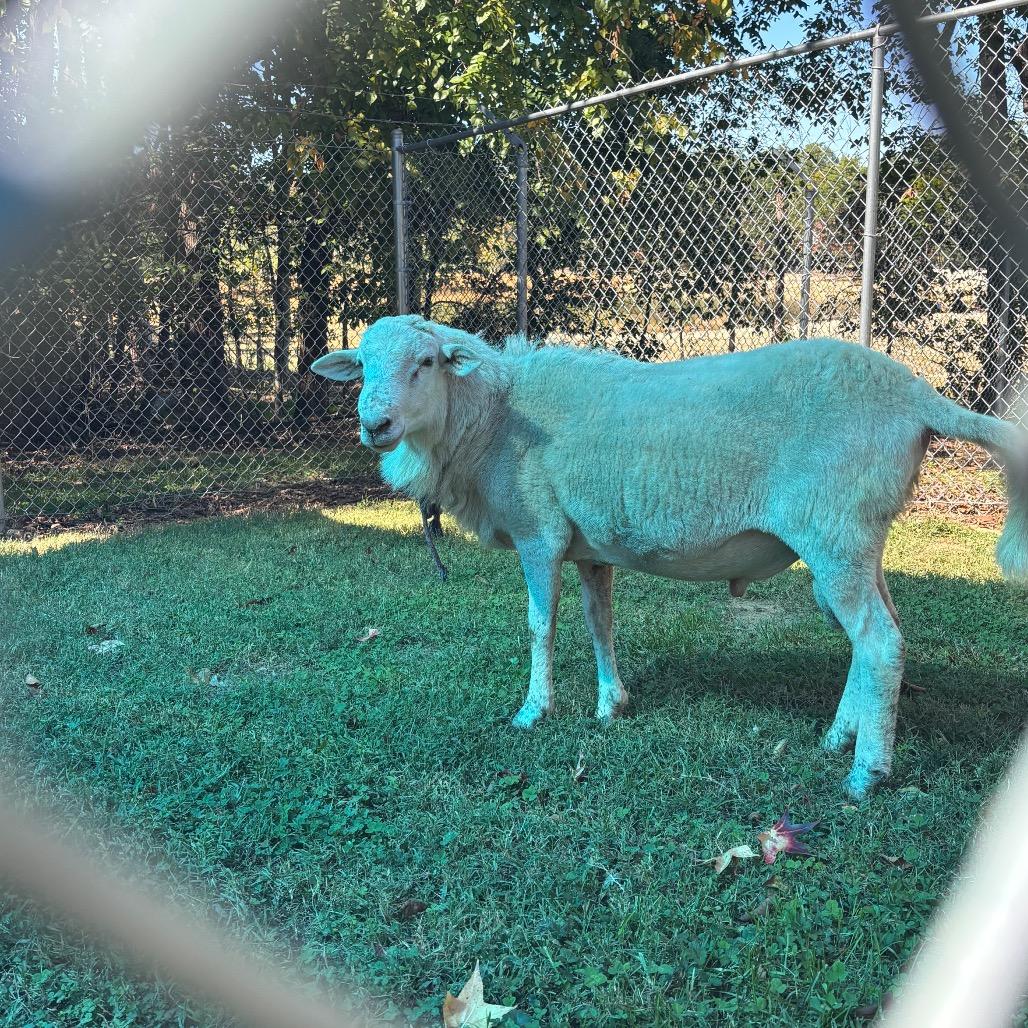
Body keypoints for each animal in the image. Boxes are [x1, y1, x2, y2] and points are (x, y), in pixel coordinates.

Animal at [312, 314, 1028, 799]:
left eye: (427, 362)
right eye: (364, 364)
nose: (373, 425)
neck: (491, 419)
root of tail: (916, 394)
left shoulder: (540, 531)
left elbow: (541, 626)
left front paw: (534, 711)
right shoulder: (588, 544)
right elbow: (600, 624)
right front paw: (612, 705)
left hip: (836, 531)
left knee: (878, 640)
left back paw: (866, 772)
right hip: (859, 539)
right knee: (881, 633)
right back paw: (838, 738)